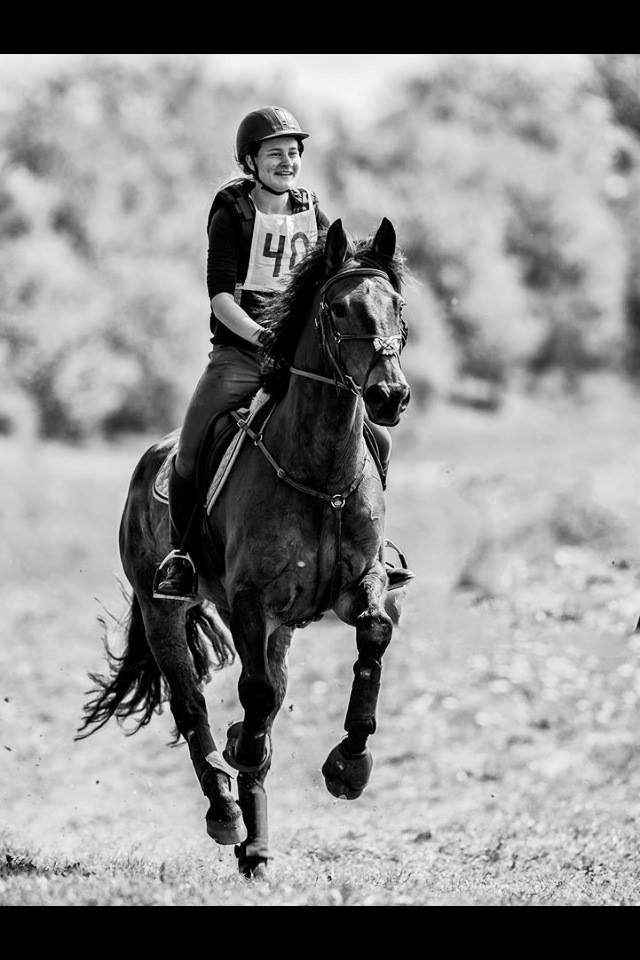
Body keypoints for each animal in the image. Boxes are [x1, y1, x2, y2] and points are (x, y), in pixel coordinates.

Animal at [77, 219, 412, 876]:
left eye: (397, 306)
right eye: (338, 308)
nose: (389, 395)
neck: (321, 474)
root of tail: (149, 459)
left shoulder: (357, 585)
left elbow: (374, 635)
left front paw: (349, 765)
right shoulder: (251, 599)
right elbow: (254, 698)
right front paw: (246, 754)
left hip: (279, 625)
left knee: (268, 694)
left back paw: (255, 844)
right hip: (164, 609)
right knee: (193, 704)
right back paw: (228, 812)